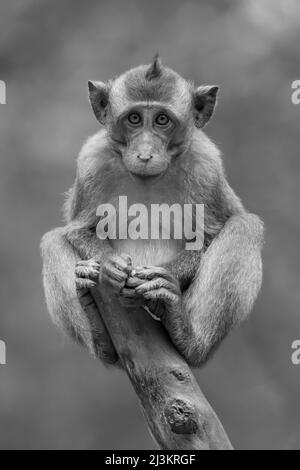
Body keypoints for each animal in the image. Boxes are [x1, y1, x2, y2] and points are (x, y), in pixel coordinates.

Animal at [40, 56, 262, 368]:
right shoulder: (91, 162)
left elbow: (208, 237)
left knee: (246, 227)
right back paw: (99, 335)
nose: (145, 153)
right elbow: (78, 230)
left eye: (162, 120)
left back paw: (186, 334)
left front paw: (158, 278)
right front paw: (110, 266)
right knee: (52, 240)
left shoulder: (206, 167)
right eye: (134, 119)